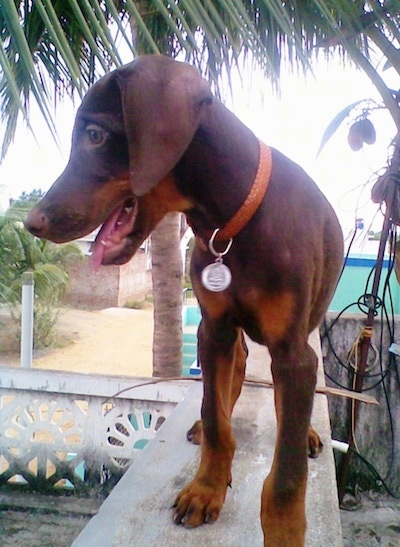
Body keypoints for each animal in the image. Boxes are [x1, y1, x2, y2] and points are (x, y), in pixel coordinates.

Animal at [25, 54, 344, 544]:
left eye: (95, 135)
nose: (31, 222)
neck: (232, 223)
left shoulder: (292, 351)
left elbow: (287, 473)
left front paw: (285, 528)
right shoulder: (213, 328)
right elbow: (215, 417)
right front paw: (206, 488)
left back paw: (304, 430)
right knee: (230, 378)